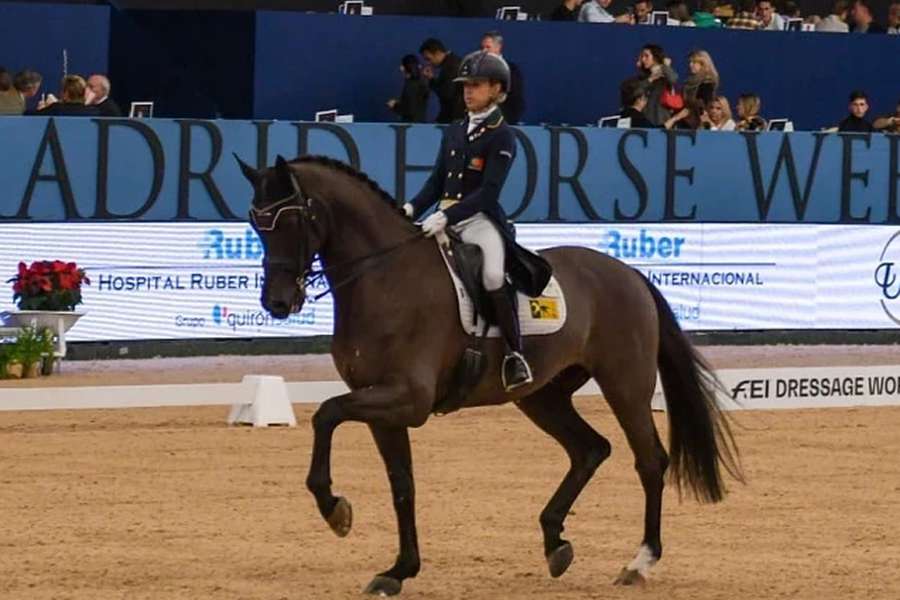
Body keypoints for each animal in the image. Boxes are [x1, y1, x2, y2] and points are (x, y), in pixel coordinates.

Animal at [237, 154, 740, 596]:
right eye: (256, 223)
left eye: (291, 221)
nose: (277, 303)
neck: (384, 276)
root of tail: (630, 274)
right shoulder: (382, 405)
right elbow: (402, 484)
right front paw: (398, 571)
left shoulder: (407, 398)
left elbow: (326, 413)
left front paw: (334, 510)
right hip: (542, 395)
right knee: (590, 449)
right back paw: (555, 543)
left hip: (626, 384)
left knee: (649, 460)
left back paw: (640, 562)